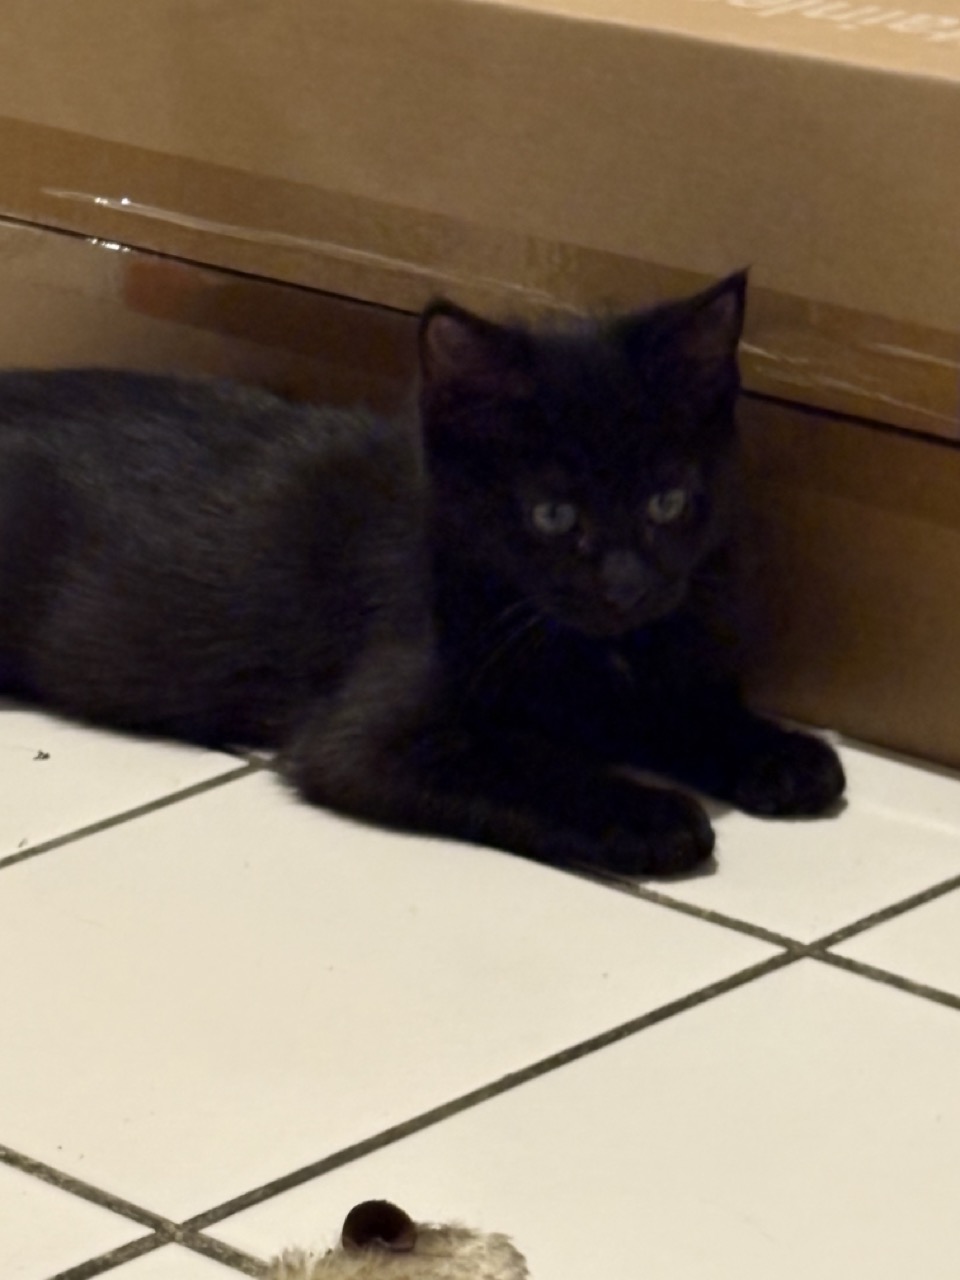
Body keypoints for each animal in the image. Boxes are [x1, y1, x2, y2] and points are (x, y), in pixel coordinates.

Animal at [0, 271, 844, 877]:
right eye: (552, 515)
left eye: (668, 501)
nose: (628, 585)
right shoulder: (367, 737)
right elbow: (519, 764)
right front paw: (645, 814)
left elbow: (672, 706)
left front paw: (773, 750)